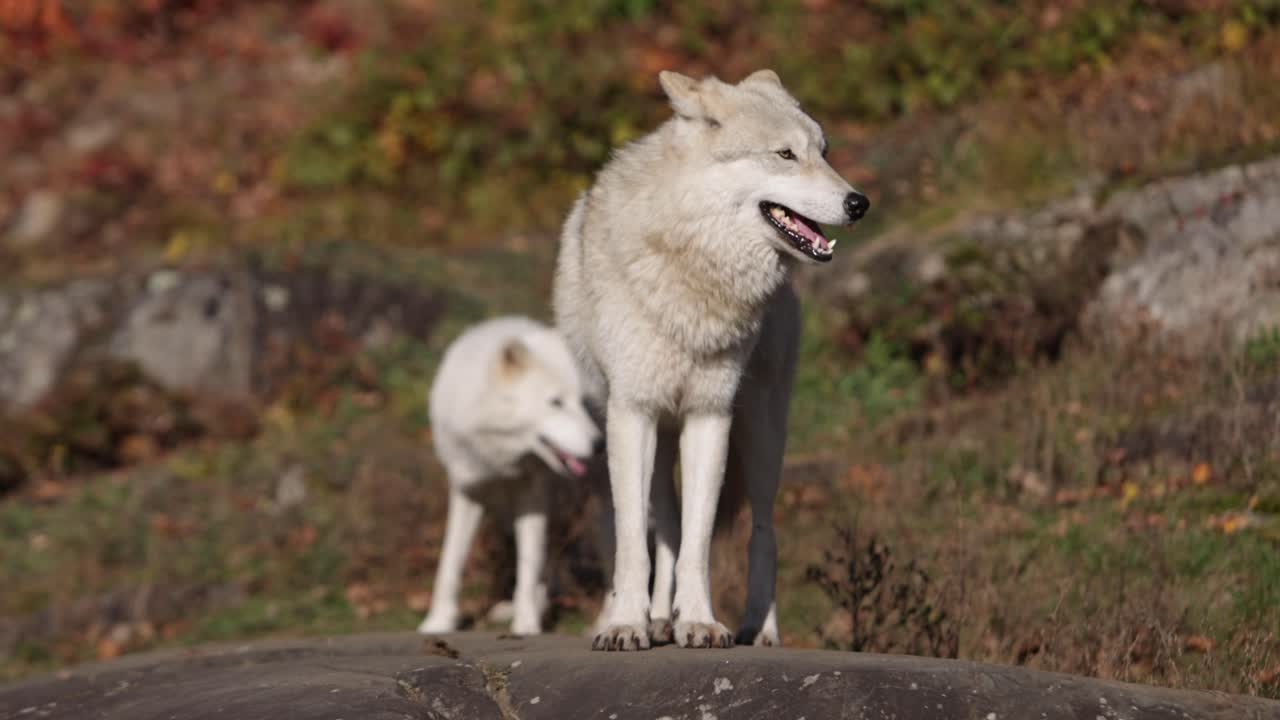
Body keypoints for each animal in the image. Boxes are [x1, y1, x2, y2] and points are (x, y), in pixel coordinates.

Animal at [417, 316, 602, 636]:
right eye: (556, 402)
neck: (503, 461)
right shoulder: (467, 492)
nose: (599, 443)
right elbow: (450, 562)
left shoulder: (532, 496)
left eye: (583, 402)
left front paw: (526, 625)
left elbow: (529, 564)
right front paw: (439, 621)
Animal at [553, 69, 868, 650]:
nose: (860, 203)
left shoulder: (710, 415)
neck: (695, 272)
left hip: (763, 432)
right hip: (658, 436)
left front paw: (699, 620)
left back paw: (759, 629)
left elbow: (699, 543)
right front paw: (627, 622)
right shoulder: (632, 413)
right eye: (785, 154)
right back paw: (657, 617)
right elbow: (636, 540)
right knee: (664, 528)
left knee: (763, 531)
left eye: (824, 152)